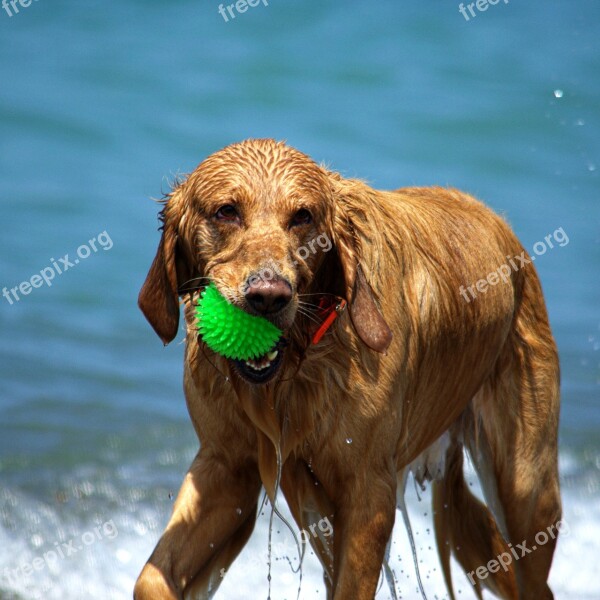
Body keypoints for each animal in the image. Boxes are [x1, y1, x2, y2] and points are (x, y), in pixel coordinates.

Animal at [135, 138, 564, 596]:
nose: (269, 296)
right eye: (226, 211)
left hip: (527, 483)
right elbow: (151, 577)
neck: (298, 370)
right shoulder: (226, 468)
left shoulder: (368, 492)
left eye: (302, 216)